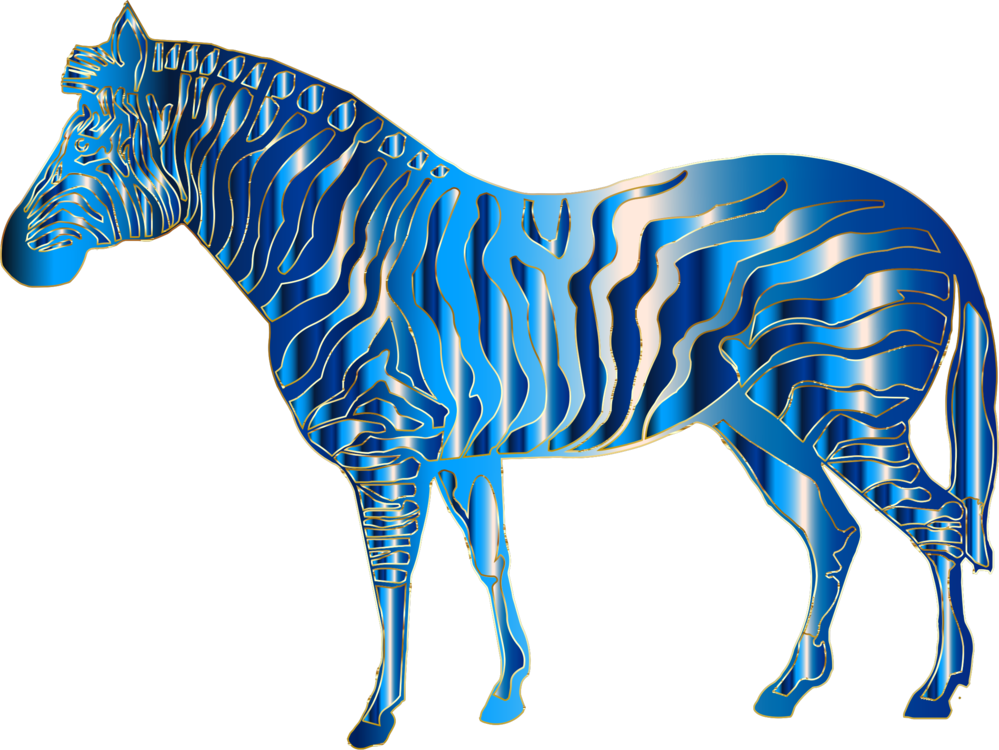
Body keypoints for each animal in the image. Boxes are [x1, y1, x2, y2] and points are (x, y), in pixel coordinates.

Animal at [2, 3, 995, 745]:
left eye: (86, 146)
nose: (16, 260)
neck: (340, 248)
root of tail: (926, 214)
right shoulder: (459, 450)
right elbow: (489, 557)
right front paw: (508, 691)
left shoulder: (387, 444)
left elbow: (390, 573)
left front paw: (377, 717)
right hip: (759, 417)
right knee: (832, 532)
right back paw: (791, 689)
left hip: (849, 398)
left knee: (939, 521)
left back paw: (935, 692)